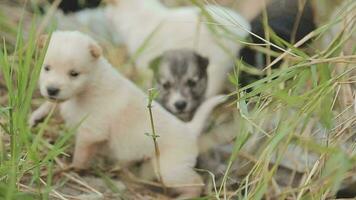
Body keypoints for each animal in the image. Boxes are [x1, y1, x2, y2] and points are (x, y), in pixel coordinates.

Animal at [30, 31, 225, 198]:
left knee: (196, 183)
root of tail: (189, 128)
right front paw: (36, 116)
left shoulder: (92, 131)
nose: (52, 89)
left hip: (170, 169)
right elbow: (50, 105)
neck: (89, 86)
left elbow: (82, 153)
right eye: (46, 68)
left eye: (74, 74)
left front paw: (73, 168)